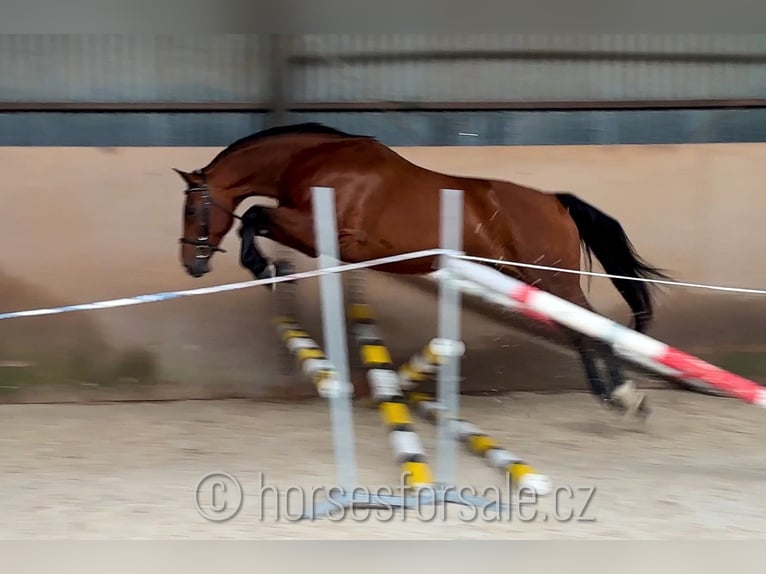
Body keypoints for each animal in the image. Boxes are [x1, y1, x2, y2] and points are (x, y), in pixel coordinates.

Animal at [174, 122, 668, 417]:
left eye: (191, 210)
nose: (191, 264)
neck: (317, 161)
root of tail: (554, 201)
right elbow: (255, 218)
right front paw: (272, 269)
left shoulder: (321, 232)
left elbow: (254, 216)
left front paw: (269, 269)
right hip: (534, 280)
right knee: (577, 327)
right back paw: (610, 393)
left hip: (553, 277)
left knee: (591, 325)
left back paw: (623, 395)